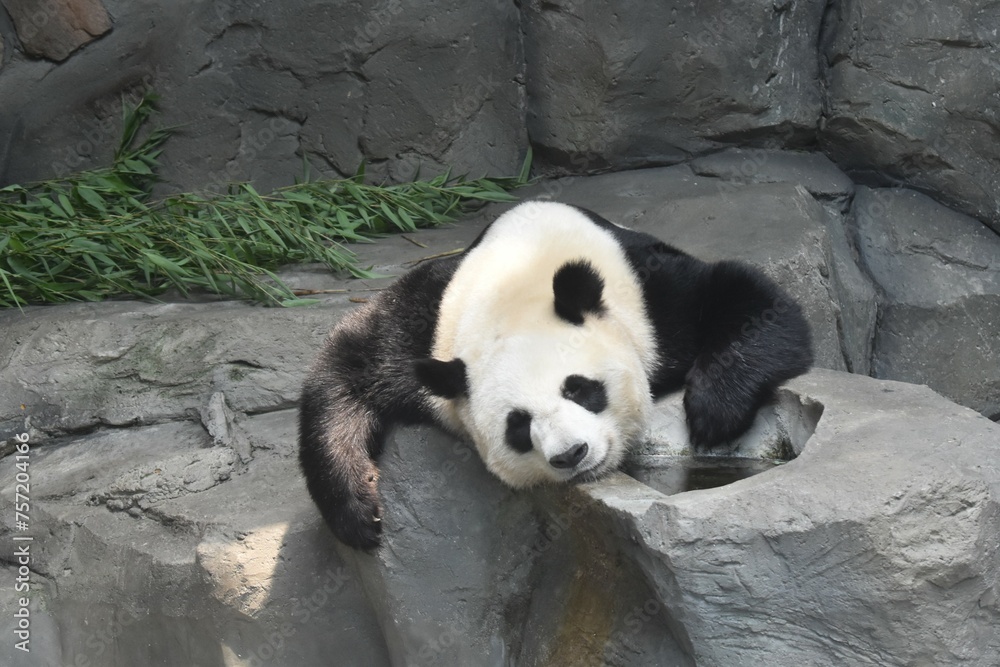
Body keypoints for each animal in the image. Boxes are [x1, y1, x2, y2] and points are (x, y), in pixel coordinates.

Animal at [299, 200, 813, 550]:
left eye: (580, 389)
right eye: (518, 427)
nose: (572, 454)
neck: (517, 283)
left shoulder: (650, 297)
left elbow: (749, 299)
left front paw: (714, 413)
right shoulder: (426, 326)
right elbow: (345, 367)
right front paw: (359, 510)